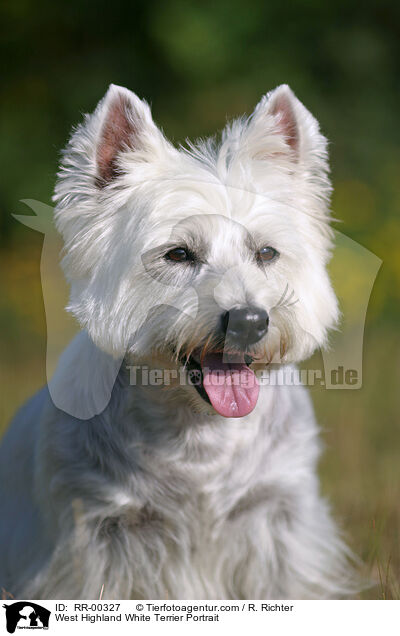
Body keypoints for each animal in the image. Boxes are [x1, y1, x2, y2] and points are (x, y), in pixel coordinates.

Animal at [0, 83, 356, 596]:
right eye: (179, 254)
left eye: (267, 252)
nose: (249, 320)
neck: (198, 435)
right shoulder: (95, 535)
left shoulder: (281, 519)